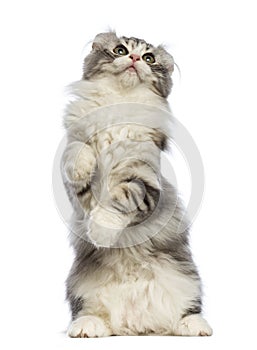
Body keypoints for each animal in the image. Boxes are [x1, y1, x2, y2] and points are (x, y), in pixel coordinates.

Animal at [61, 32, 211, 336]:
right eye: (120, 50)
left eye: (149, 58)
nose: (133, 58)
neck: (120, 104)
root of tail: (136, 325)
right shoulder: (76, 188)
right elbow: (77, 150)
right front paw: (82, 168)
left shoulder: (146, 183)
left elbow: (120, 199)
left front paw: (101, 232)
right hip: (78, 286)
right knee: (88, 312)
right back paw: (86, 327)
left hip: (188, 279)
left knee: (188, 310)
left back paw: (196, 326)